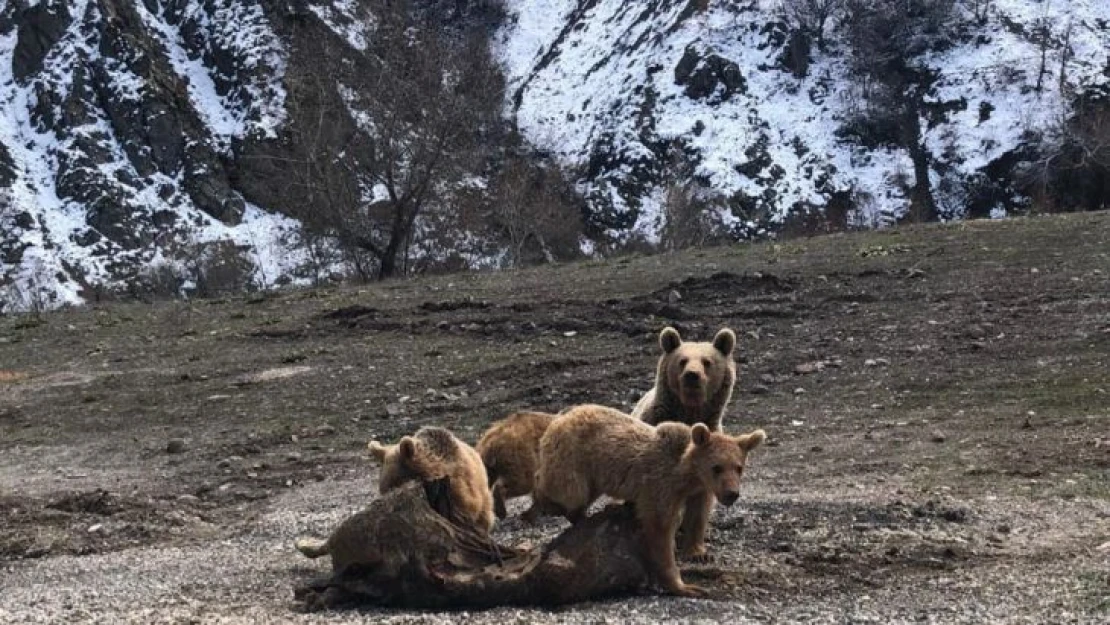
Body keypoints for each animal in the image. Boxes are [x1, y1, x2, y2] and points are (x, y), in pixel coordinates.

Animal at [530, 404, 763, 599]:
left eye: (739, 467)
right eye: (717, 467)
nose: (732, 493)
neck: (687, 474)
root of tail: (562, 415)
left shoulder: (700, 490)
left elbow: (698, 515)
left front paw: (699, 553)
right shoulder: (660, 486)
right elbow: (660, 529)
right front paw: (685, 586)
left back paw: (586, 516)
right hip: (575, 458)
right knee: (568, 490)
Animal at [634, 326, 737, 559]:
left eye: (707, 361)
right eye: (682, 360)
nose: (692, 375)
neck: (689, 413)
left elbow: (700, 505)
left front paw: (698, 551)